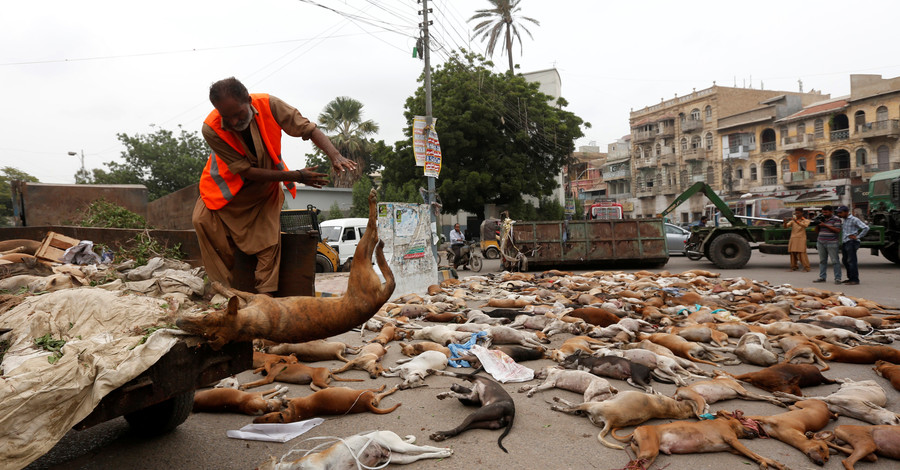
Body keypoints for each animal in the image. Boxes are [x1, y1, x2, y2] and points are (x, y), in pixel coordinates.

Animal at [178, 188, 396, 348]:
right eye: (206, 334)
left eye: (207, 317)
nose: (179, 322)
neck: (250, 325)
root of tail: (379, 299)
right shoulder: (253, 300)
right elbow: (229, 290)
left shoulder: (256, 298)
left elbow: (229, 289)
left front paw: (216, 284)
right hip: (361, 264)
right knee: (374, 240)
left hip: (359, 261)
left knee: (372, 230)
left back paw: (373, 204)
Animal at [250, 384, 398, 424]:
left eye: (266, 417)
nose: (254, 421)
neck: (293, 415)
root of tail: (367, 403)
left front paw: (283, 398)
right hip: (366, 392)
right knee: (380, 392)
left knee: (380, 392)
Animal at [548, 390, 696, 448]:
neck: (672, 409)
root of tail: (610, 421)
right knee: (575, 410)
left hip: (591, 404)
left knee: (571, 407)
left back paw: (557, 403)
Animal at [612, 412, 788, 470]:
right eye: (744, 421)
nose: (756, 433)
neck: (726, 423)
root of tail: (636, 430)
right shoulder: (733, 441)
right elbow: (755, 454)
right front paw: (764, 463)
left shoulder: (733, 448)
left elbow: (759, 456)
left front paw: (777, 464)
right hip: (650, 451)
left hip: (648, 457)